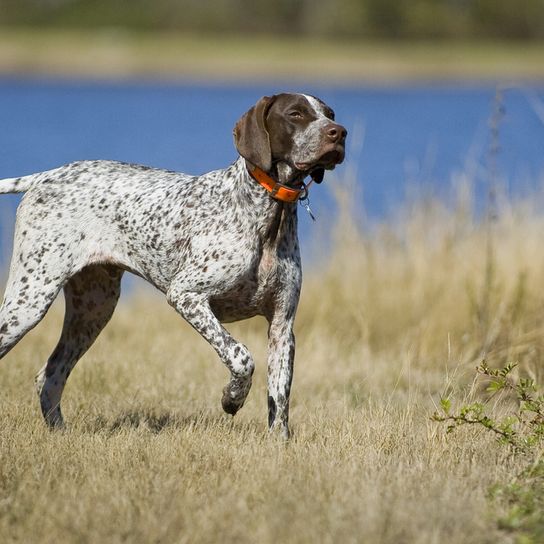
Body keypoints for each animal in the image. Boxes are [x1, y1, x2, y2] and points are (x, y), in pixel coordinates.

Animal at [0, 93, 346, 440]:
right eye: (296, 114)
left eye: (329, 114)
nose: (339, 133)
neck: (267, 213)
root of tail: (47, 175)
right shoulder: (186, 295)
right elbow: (241, 356)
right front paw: (232, 398)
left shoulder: (281, 326)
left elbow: (279, 399)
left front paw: (278, 443)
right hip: (30, 299)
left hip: (93, 310)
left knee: (50, 375)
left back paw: (60, 432)